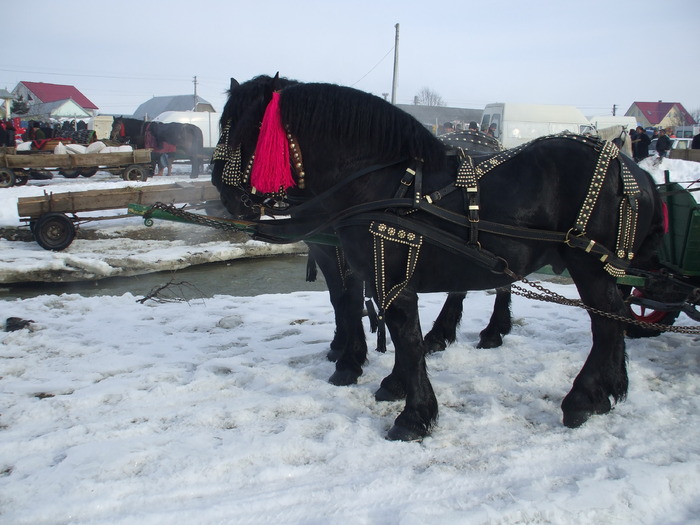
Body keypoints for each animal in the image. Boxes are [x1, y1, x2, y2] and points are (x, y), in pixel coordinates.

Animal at [211, 74, 664, 438]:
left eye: (246, 127)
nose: (221, 189)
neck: (381, 181)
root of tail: (634, 170)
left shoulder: (387, 271)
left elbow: (403, 336)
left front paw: (413, 414)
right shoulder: (371, 269)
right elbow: (379, 323)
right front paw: (387, 381)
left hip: (589, 265)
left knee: (606, 321)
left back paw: (583, 397)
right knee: (611, 316)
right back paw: (604, 388)